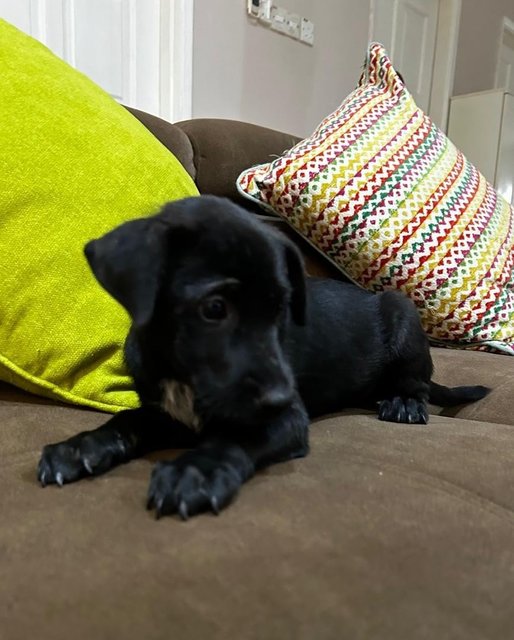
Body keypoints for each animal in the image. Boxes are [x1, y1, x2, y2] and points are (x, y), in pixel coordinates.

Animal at [37, 196, 488, 520]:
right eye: (214, 308)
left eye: (281, 308)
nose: (278, 396)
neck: (182, 373)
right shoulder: (165, 412)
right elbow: (127, 419)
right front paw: (79, 447)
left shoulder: (286, 418)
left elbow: (236, 437)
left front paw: (195, 471)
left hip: (402, 315)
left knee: (417, 384)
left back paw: (404, 404)